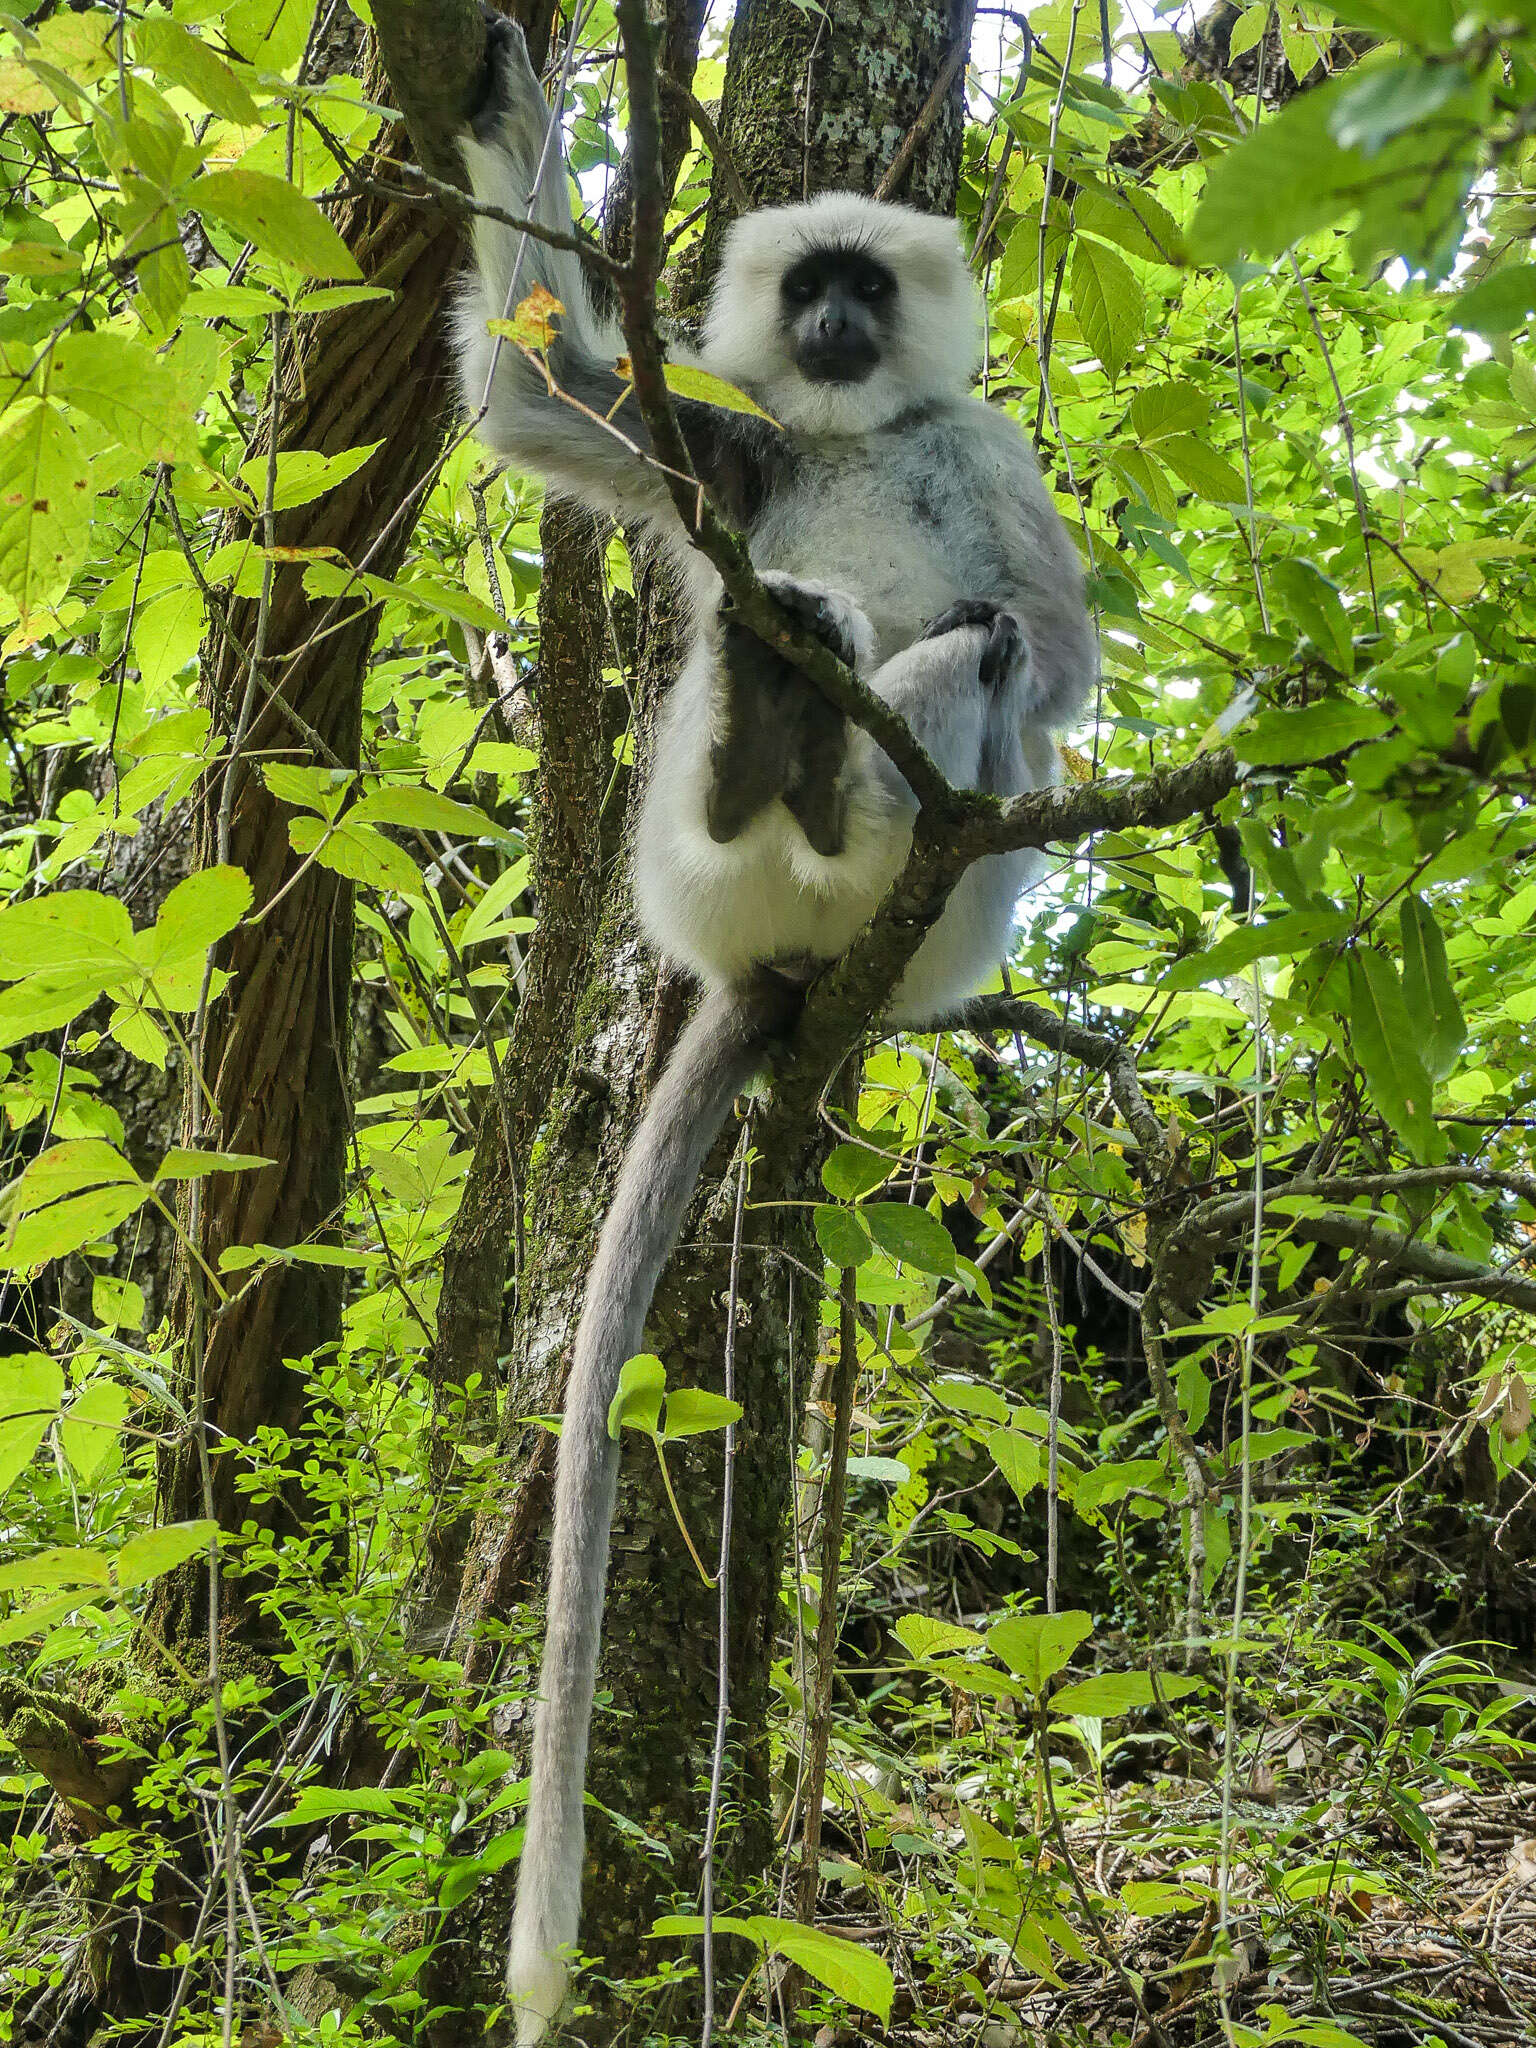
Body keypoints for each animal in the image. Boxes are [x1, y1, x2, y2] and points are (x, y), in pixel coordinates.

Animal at [456, 19, 1105, 2048]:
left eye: (861, 290)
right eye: (807, 285)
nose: (822, 320)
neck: (858, 432)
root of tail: (777, 968)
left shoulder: (983, 450)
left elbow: (1055, 654)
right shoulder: (735, 442)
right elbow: (539, 397)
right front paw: (507, 102)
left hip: (951, 908)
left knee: (975, 668)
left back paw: (842, 769)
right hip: (687, 872)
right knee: (771, 659)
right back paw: (767, 727)